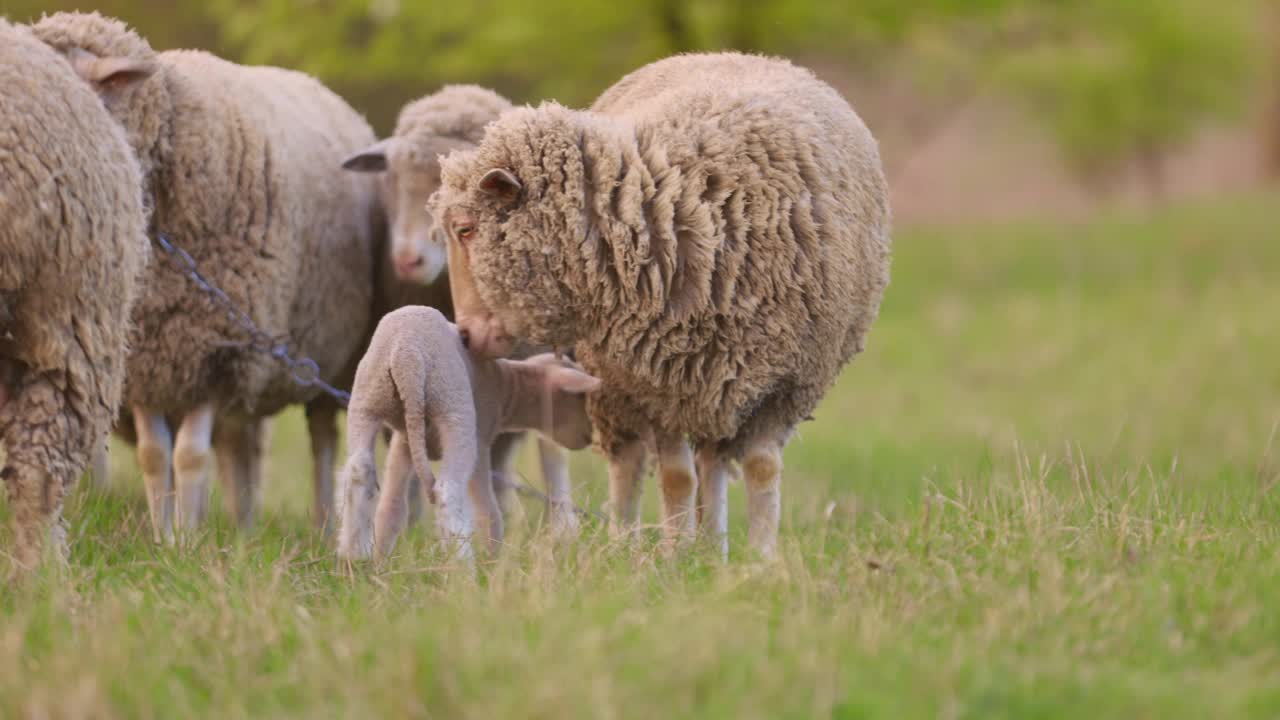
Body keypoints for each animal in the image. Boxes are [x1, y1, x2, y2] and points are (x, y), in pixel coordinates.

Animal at [30, 11, 378, 540]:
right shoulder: (149, 363)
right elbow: (155, 456)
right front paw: (165, 536)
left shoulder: (214, 354)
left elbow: (191, 456)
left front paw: (187, 541)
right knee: (241, 450)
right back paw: (244, 531)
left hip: (326, 360)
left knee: (321, 442)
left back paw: (322, 526)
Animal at [337, 304, 601, 558]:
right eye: (579, 397)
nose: (589, 437)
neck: (507, 389)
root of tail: (406, 356)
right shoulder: (480, 439)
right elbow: (488, 509)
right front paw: (493, 558)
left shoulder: (403, 441)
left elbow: (390, 507)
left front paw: (380, 560)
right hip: (454, 410)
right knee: (448, 490)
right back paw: (463, 564)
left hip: (367, 397)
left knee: (358, 472)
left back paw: (352, 557)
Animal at [430, 51, 890, 556]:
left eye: (466, 229)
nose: (466, 334)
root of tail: (730, 54)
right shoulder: (656, 381)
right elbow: (674, 478)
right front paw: (674, 558)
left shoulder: (784, 384)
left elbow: (762, 468)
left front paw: (763, 560)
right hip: (617, 388)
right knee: (629, 465)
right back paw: (628, 545)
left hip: (719, 382)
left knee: (712, 461)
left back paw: (714, 550)